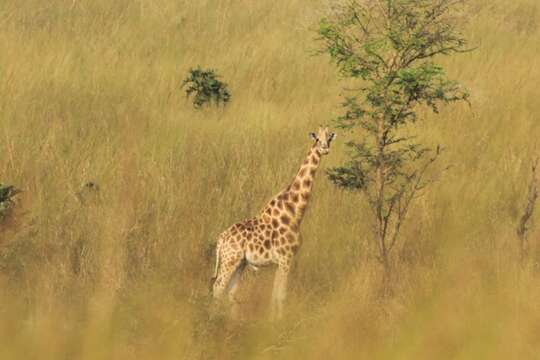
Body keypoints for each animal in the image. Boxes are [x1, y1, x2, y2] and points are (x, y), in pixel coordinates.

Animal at [211, 126, 334, 318]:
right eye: (316, 138)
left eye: (329, 138)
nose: (325, 148)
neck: (294, 212)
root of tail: (221, 239)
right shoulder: (286, 258)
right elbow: (281, 295)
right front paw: (278, 322)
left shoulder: (281, 261)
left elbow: (275, 294)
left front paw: (273, 320)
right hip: (230, 259)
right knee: (218, 286)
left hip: (240, 263)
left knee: (230, 290)